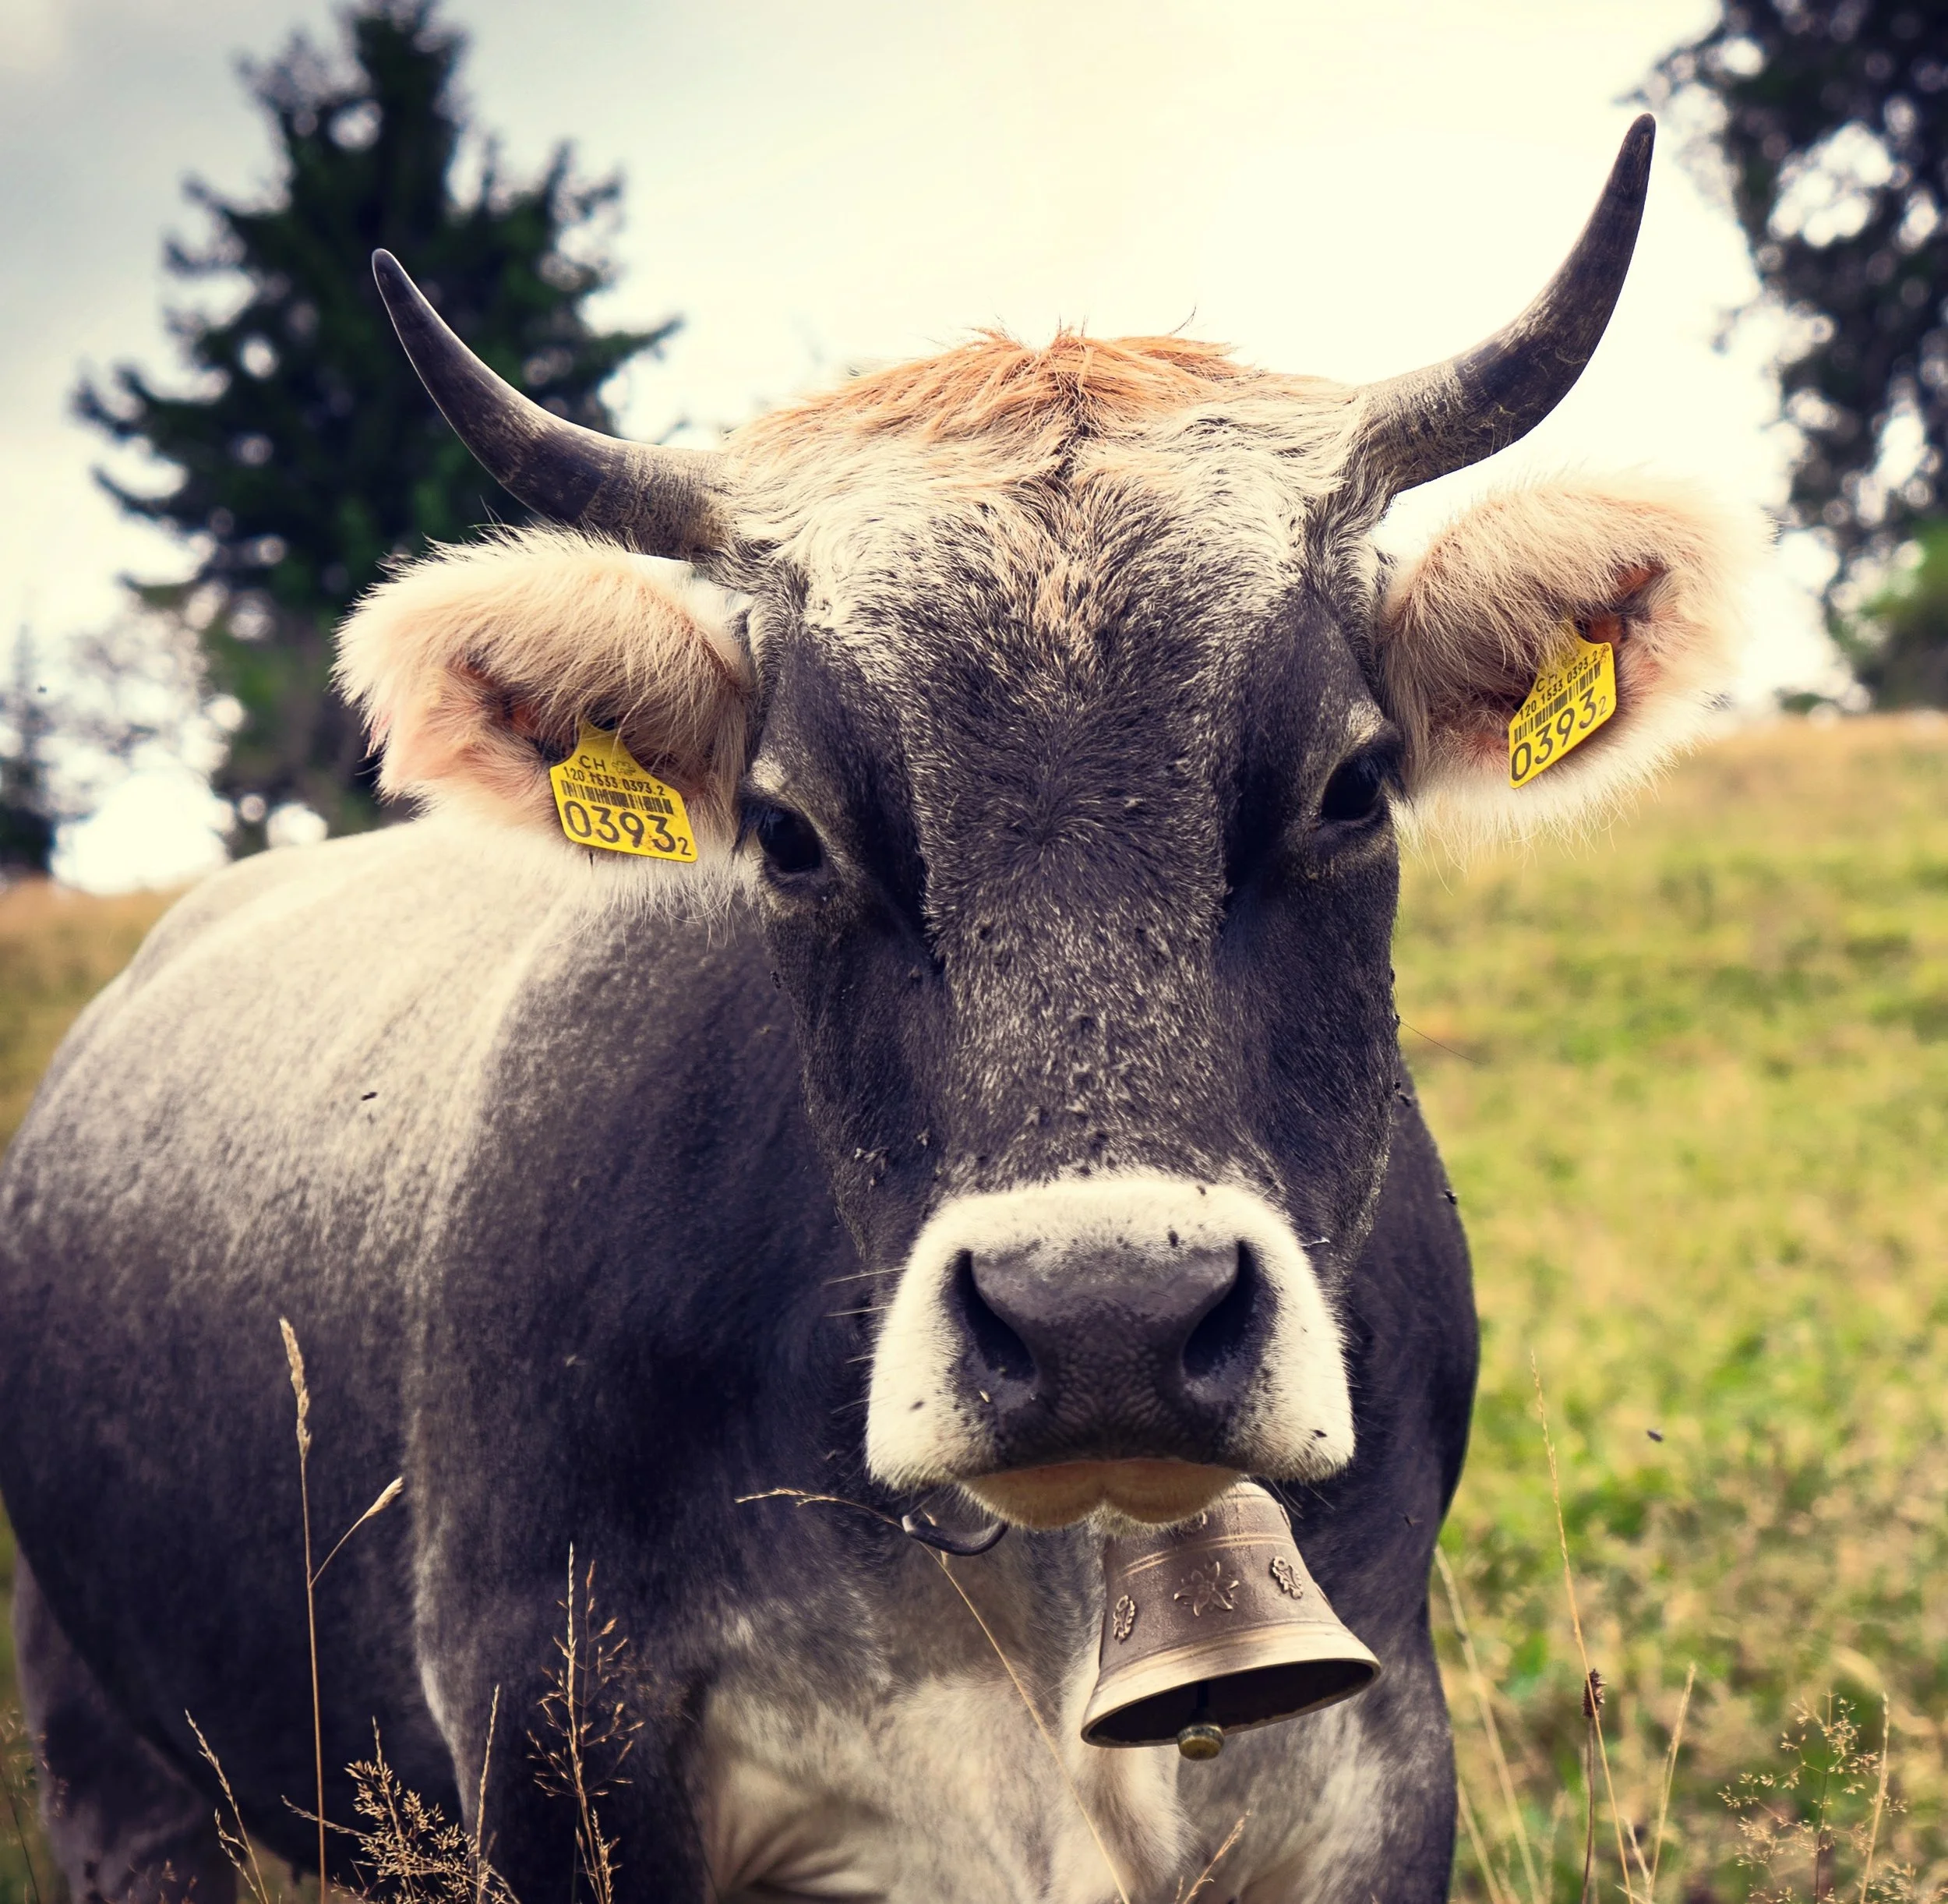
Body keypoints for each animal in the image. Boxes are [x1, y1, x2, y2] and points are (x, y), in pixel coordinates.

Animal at [0, 114, 1761, 1904]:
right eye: (786, 831)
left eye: (1349, 783)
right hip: (110, 1753)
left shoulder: (1380, 1755)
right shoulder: (547, 1729)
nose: (1105, 1320)